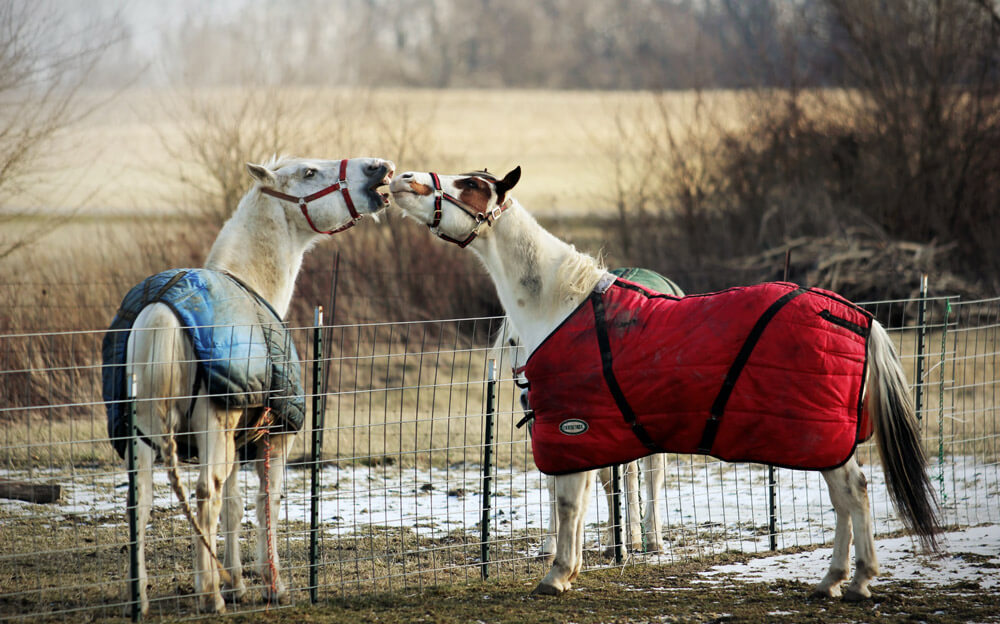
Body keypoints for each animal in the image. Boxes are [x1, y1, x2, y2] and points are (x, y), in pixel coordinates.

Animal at [104, 156, 394, 616]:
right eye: (309, 172)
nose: (378, 168)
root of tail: (161, 311)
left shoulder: (238, 442)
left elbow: (235, 507)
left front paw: (238, 582)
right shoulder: (273, 439)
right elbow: (264, 503)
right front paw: (270, 585)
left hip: (144, 437)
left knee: (141, 504)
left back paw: (142, 598)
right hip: (211, 427)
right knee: (204, 494)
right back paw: (209, 595)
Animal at [392, 167, 944, 604]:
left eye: (471, 186)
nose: (403, 180)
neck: (561, 304)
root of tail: (858, 316)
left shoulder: (571, 429)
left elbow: (569, 504)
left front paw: (555, 576)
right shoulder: (587, 437)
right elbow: (583, 502)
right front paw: (571, 570)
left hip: (818, 437)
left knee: (854, 494)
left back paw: (855, 581)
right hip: (825, 441)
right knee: (846, 500)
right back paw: (833, 581)